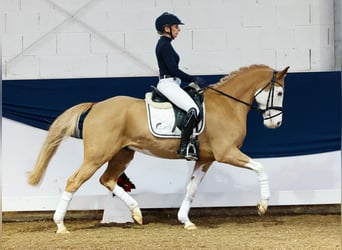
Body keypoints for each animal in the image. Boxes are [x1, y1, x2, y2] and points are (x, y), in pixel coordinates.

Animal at [27, 64, 288, 232]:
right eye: (280, 92)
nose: (275, 124)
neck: (228, 104)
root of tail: (96, 106)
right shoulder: (227, 153)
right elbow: (260, 168)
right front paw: (263, 205)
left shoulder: (205, 159)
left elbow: (192, 188)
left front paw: (186, 221)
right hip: (97, 155)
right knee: (74, 181)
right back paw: (61, 225)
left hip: (123, 154)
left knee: (108, 180)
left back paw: (136, 213)